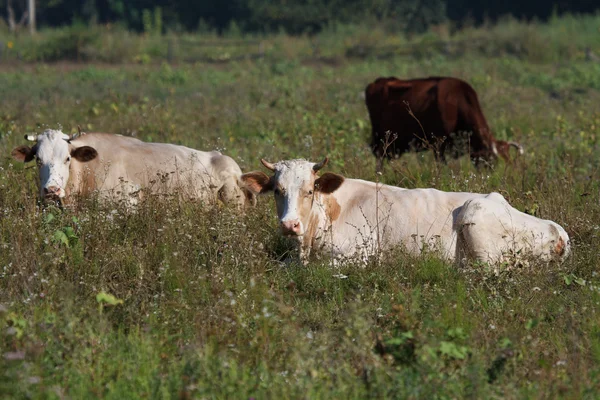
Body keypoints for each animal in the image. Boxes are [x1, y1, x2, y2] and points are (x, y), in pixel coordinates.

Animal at [240, 157, 572, 266]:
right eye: (278, 191)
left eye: (309, 190)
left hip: (476, 220)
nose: (289, 225)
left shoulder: (357, 256)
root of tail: (558, 230)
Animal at [364, 76, 524, 170]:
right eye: (491, 161)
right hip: (380, 139)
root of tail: (377, 82)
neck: (458, 102)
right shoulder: (438, 145)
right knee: (379, 157)